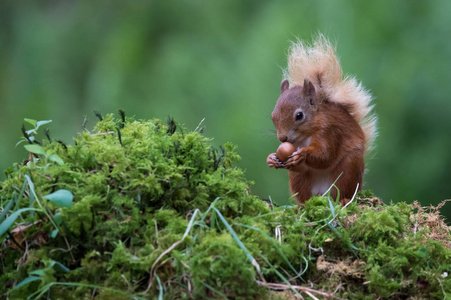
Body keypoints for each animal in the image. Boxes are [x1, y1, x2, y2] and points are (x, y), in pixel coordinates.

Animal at [268, 35, 378, 204]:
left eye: (299, 116)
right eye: (273, 116)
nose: (282, 138)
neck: (305, 136)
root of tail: (323, 194)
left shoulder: (329, 130)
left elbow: (325, 156)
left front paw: (303, 154)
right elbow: (300, 165)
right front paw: (272, 158)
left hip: (348, 168)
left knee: (343, 189)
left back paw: (342, 200)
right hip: (299, 180)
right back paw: (303, 205)